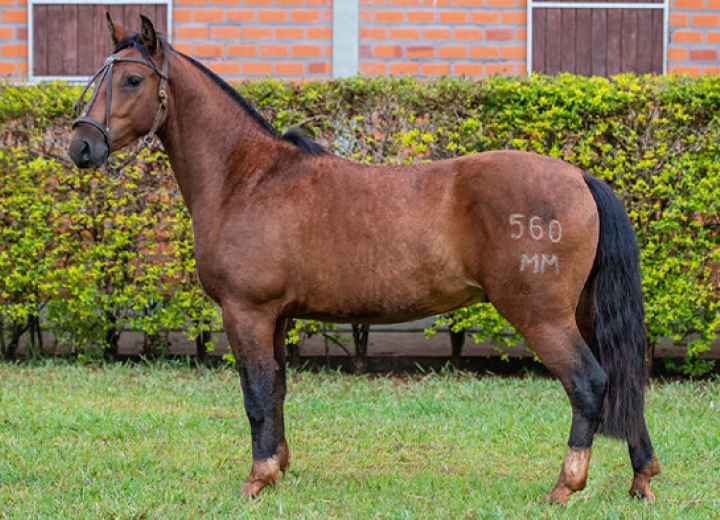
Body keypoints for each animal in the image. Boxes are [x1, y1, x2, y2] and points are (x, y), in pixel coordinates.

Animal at [67, 15, 660, 504]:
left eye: (132, 80)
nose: (81, 147)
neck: (249, 177)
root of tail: (578, 176)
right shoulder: (276, 317)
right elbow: (277, 389)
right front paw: (278, 468)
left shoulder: (246, 312)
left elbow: (256, 394)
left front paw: (257, 479)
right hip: (583, 312)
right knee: (623, 379)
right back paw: (642, 476)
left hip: (542, 317)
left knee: (590, 383)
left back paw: (566, 485)